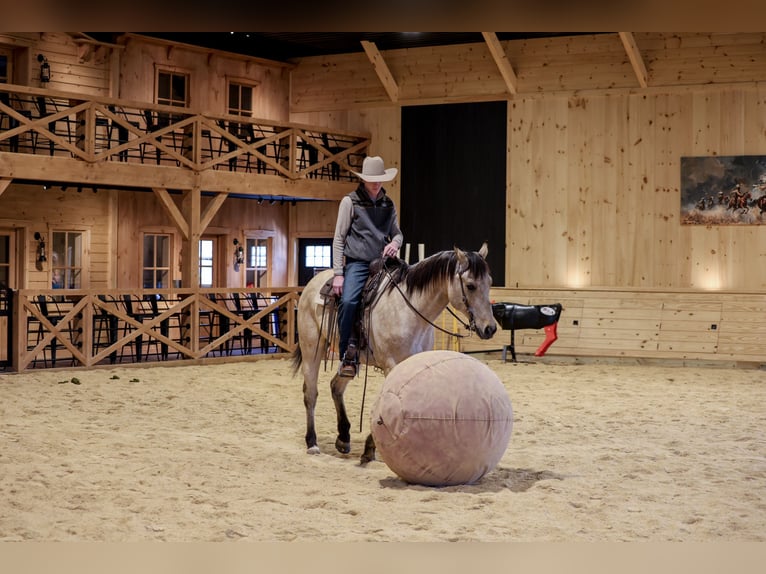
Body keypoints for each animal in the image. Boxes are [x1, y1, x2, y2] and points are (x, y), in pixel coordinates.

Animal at [292, 243, 497, 464]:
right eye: (470, 285)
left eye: (489, 282)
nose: (490, 328)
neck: (410, 310)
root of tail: (312, 284)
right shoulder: (391, 366)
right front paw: (370, 447)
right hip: (312, 348)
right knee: (310, 393)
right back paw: (312, 442)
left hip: (349, 360)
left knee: (336, 387)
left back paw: (344, 438)